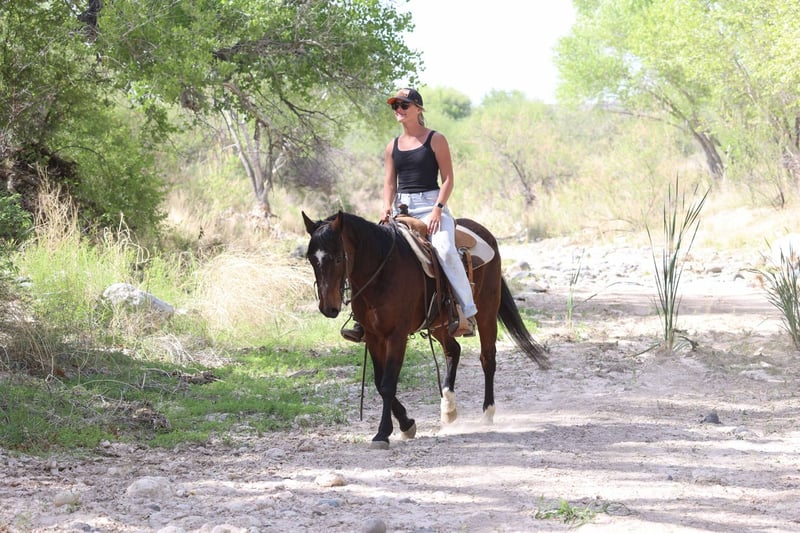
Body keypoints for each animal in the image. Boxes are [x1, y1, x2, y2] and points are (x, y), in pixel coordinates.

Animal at [302, 210, 549, 449]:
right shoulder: (373, 336)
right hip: (439, 323)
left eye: (337, 258)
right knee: (453, 351)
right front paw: (406, 424)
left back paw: (487, 412)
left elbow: (388, 384)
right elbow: (379, 382)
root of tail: (485, 233)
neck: (382, 272)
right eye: (312, 259)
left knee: (487, 358)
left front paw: (383, 433)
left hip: (487, 310)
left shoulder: (397, 336)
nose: (328, 308)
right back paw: (448, 410)